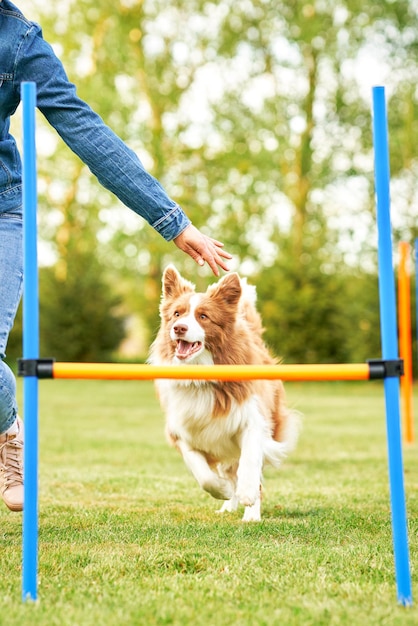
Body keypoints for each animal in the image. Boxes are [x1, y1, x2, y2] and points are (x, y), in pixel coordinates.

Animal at [150, 266, 300, 520]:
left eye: (203, 316)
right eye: (177, 314)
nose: (179, 328)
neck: (200, 378)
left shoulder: (253, 420)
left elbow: (249, 463)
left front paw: (248, 496)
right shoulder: (181, 430)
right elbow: (203, 474)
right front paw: (224, 491)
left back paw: (250, 514)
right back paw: (229, 503)